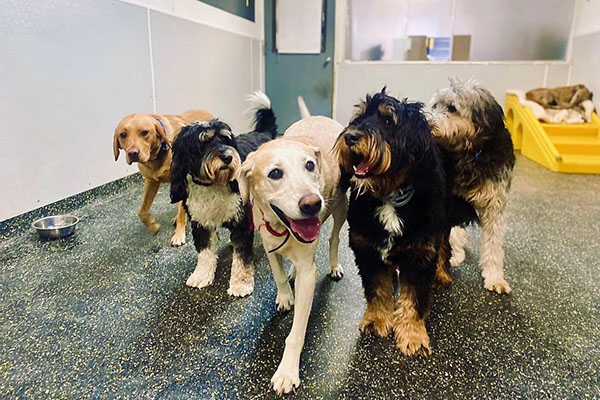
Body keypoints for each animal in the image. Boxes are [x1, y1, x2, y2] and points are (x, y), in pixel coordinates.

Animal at [112, 110, 213, 247]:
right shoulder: (151, 182)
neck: (160, 152)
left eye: (144, 132)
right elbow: (142, 212)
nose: (132, 153)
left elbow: (181, 213)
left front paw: (179, 234)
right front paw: (152, 226)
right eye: (123, 134)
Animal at [170, 91, 278, 296]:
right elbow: (205, 254)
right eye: (203, 142)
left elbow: (242, 258)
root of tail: (265, 133)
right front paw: (201, 276)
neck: (213, 184)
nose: (228, 157)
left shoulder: (242, 221)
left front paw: (240, 283)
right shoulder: (200, 223)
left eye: (225, 140)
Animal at [236, 115, 344, 394]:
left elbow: (295, 334)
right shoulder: (269, 246)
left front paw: (287, 371)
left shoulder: (308, 272)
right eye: (275, 173)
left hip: (343, 208)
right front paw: (285, 295)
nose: (312, 204)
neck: (281, 226)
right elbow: (278, 274)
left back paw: (335, 264)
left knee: (334, 238)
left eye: (309, 166)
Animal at [336, 90, 472, 356]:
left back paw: (442, 274)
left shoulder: (421, 254)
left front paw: (412, 334)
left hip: (442, 220)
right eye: (358, 118)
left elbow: (414, 298)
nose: (350, 136)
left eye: (388, 121)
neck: (389, 194)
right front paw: (377, 319)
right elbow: (377, 289)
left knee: (444, 247)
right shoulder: (367, 249)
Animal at [426, 77, 516, 294]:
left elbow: (494, 246)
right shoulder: (445, 201)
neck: (471, 153)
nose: (427, 123)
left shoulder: (495, 204)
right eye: (435, 105)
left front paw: (495, 278)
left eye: (452, 108)